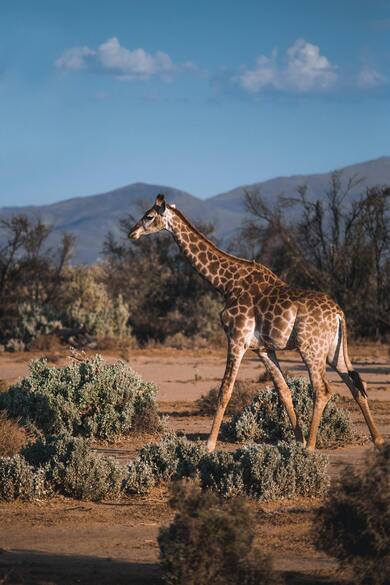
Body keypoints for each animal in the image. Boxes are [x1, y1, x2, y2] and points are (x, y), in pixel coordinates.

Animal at [128, 194, 384, 450]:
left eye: (148, 216)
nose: (132, 233)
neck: (226, 284)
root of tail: (339, 314)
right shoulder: (263, 349)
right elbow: (284, 392)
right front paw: (297, 440)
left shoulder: (237, 339)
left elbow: (225, 391)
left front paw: (209, 445)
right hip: (333, 351)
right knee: (356, 385)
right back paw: (377, 439)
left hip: (311, 348)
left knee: (323, 390)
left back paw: (312, 447)